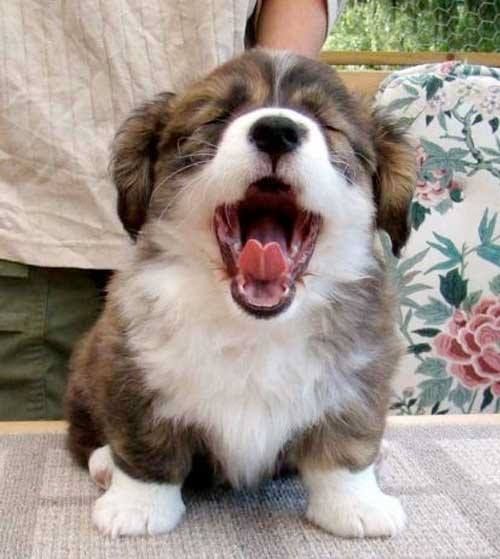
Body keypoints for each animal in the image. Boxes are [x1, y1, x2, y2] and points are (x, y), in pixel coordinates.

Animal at [65, 50, 414, 540]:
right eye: (218, 117)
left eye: (328, 125)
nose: (277, 129)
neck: (255, 325)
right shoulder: (131, 365)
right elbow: (145, 445)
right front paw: (138, 506)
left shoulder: (363, 370)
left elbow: (347, 442)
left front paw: (356, 505)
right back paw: (102, 463)